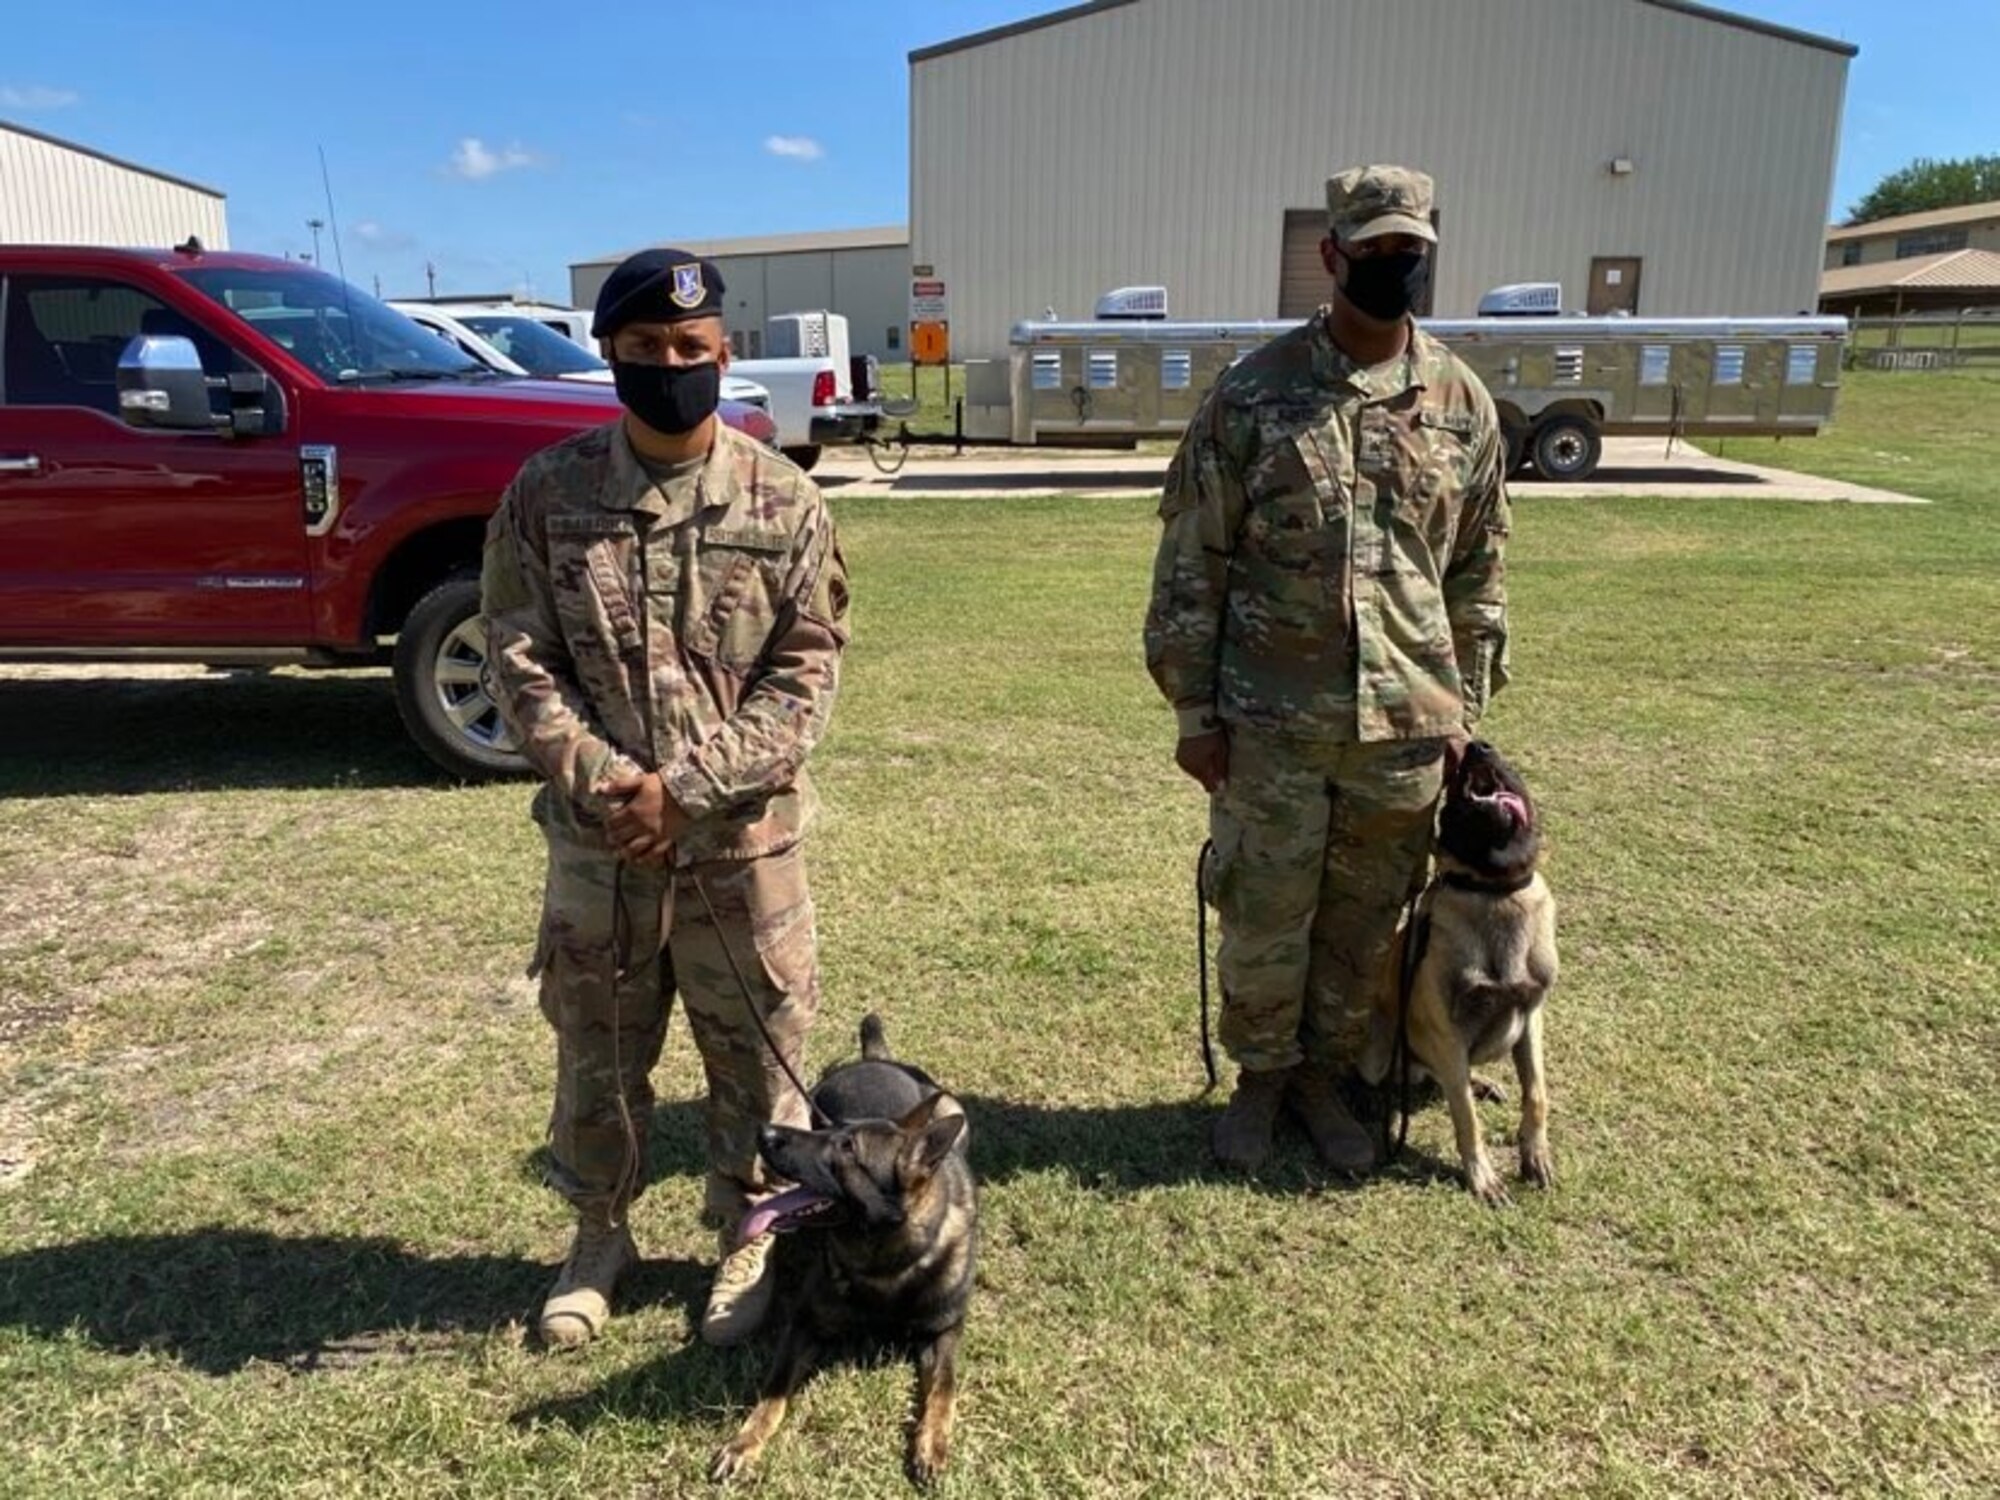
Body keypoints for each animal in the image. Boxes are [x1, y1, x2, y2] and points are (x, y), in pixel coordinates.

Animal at [712, 1016, 976, 1488]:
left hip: (952, 1112)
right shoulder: (803, 1323)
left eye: (848, 1149)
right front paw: (745, 1442)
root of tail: (874, 1059)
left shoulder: (944, 1331)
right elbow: (774, 1390)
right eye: (827, 1132)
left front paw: (932, 1443)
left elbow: (944, 1387)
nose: (764, 1131)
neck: (884, 1267)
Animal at [1360, 740, 1560, 1208]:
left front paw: (1535, 1154)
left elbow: (1536, 1093)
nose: (1476, 745)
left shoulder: (1531, 1016)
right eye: (1451, 787)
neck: (1492, 887)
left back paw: (1481, 1081)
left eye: (1509, 765)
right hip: (1381, 1047)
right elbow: (1466, 1115)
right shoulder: (1446, 1030)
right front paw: (1482, 1176)